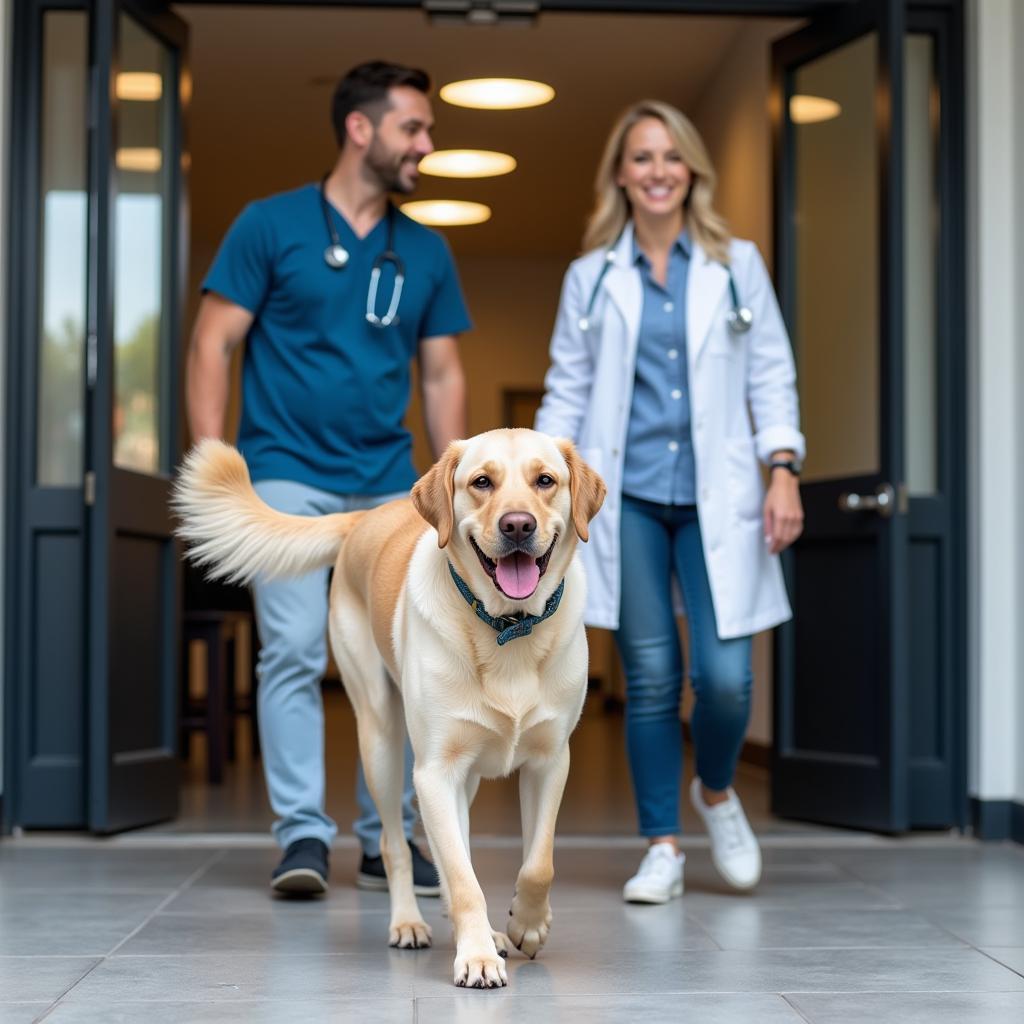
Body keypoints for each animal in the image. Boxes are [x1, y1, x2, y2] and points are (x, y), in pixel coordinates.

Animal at [174, 428, 606, 987]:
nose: (517, 525)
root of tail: (365, 516)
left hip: (457, 776)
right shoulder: (434, 771)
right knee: (397, 847)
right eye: (482, 482)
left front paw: (526, 924)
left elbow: (538, 862)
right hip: (382, 741)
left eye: (545, 480)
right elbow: (463, 877)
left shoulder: (550, 761)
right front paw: (477, 956)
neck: (507, 628)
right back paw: (409, 923)